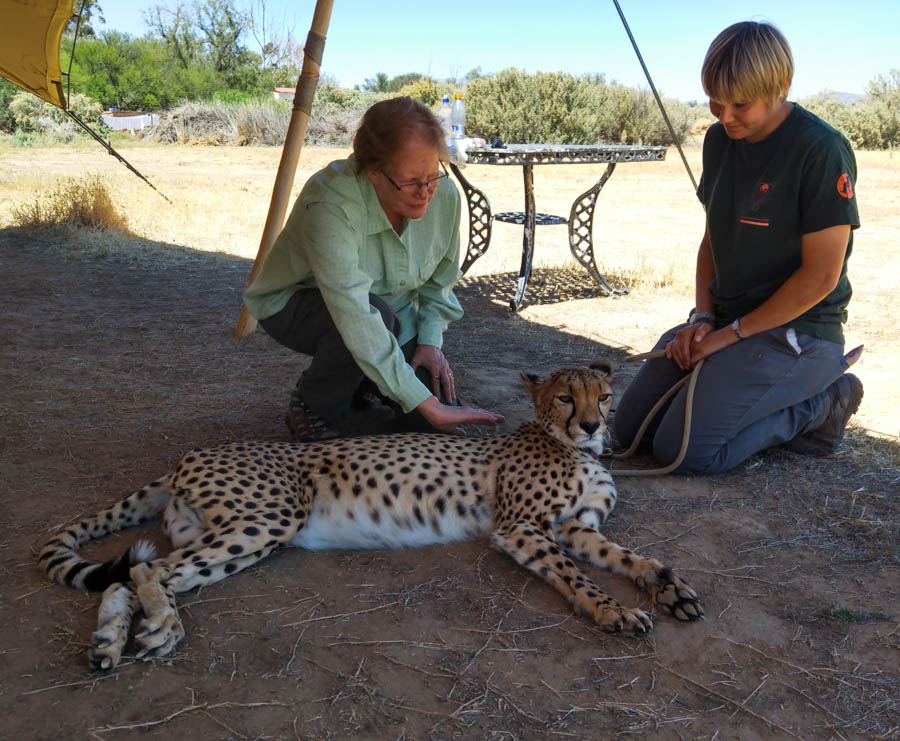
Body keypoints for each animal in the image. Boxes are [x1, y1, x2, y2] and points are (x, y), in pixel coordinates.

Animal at [40, 360, 704, 672]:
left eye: (605, 397)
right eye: (566, 397)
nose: (593, 425)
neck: (571, 449)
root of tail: (191, 455)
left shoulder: (576, 528)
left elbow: (634, 558)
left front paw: (670, 590)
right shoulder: (521, 528)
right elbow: (577, 574)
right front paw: (616, 611)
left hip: (242, 535)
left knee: (126, 577)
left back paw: (109, 643)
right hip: (272, 517)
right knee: (147, 570)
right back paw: (162, 629)